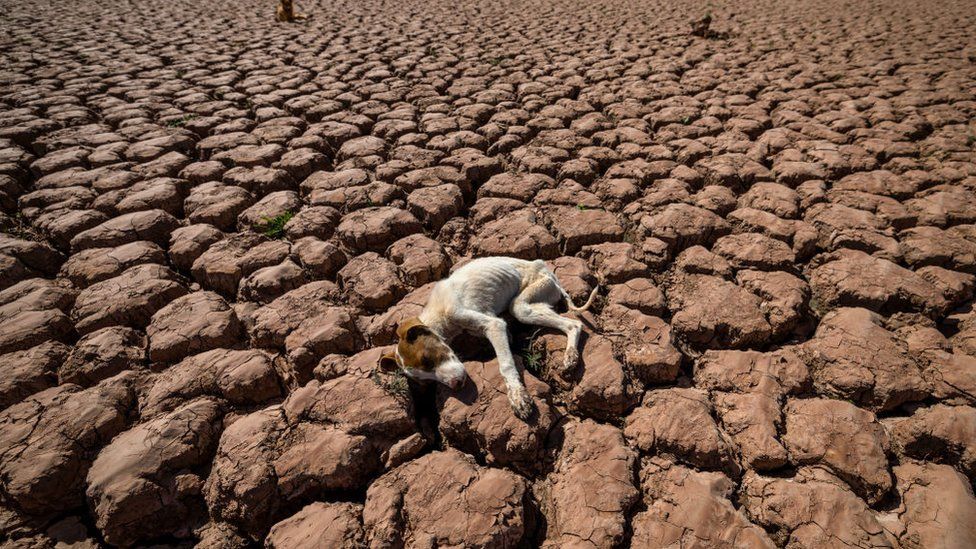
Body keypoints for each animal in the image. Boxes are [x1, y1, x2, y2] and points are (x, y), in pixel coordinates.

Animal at [380, 256, 596, 420]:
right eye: (425, 382)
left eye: (426, 359)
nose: (456, 385)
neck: (438, 313)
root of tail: (545, 268)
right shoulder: (490, 325)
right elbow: (507, 338)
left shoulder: (493, 325)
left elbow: (506, 364)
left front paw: (517, 397)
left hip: (528, 299)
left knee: (574, 324)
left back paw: (570, 357)